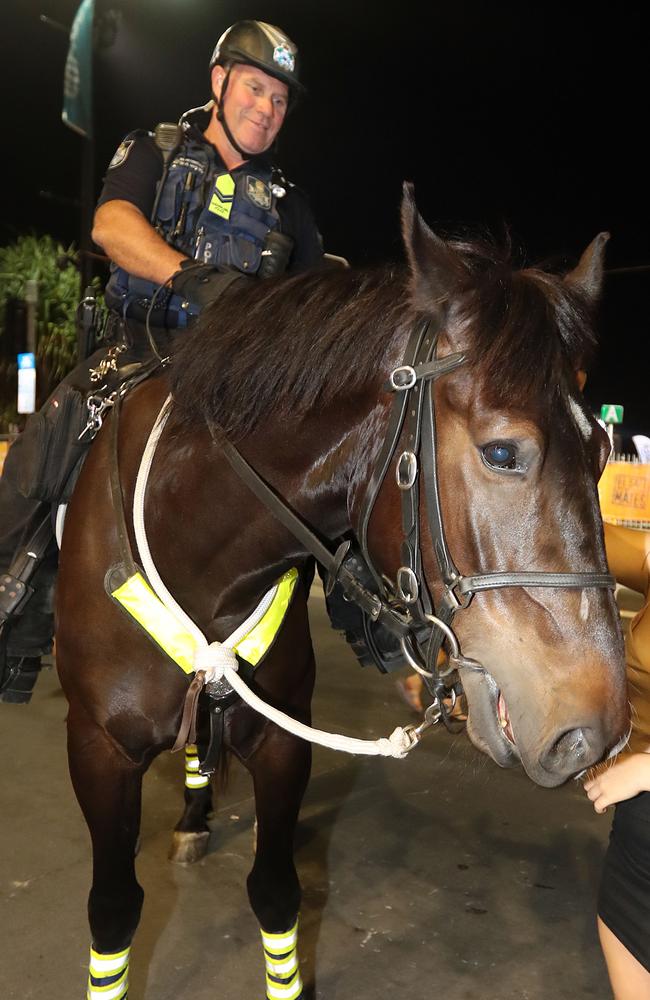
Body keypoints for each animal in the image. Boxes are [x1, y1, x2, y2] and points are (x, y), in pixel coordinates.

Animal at [57, 186, 628, 1000]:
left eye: (605, 450)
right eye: (501, 452)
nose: (597, 730)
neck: (192, 550)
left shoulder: (282, 737)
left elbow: (275, 892)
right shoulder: (98, 750)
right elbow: (112, 911)